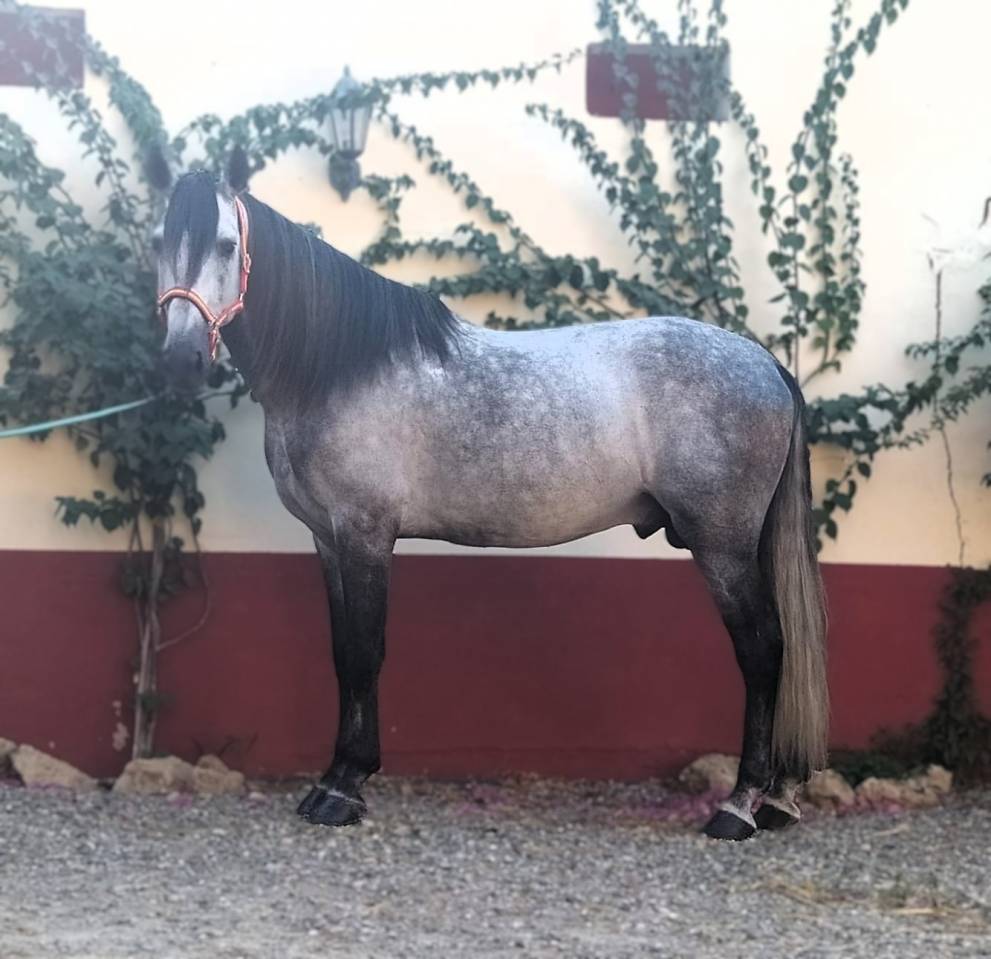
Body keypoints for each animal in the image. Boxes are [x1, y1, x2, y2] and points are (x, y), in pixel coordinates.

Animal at [154, 151, 828, 842]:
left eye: (226, 244)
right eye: (158, 242)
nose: (180, 360)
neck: (336, 368)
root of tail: (765, 363)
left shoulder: (365, 535)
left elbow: (366, 653)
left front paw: (344, 789)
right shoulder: (327, 540)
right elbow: (343, 654)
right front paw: (335, 778)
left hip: (722, 546)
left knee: (763, 650)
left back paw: (738, 806)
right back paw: (776, 799)